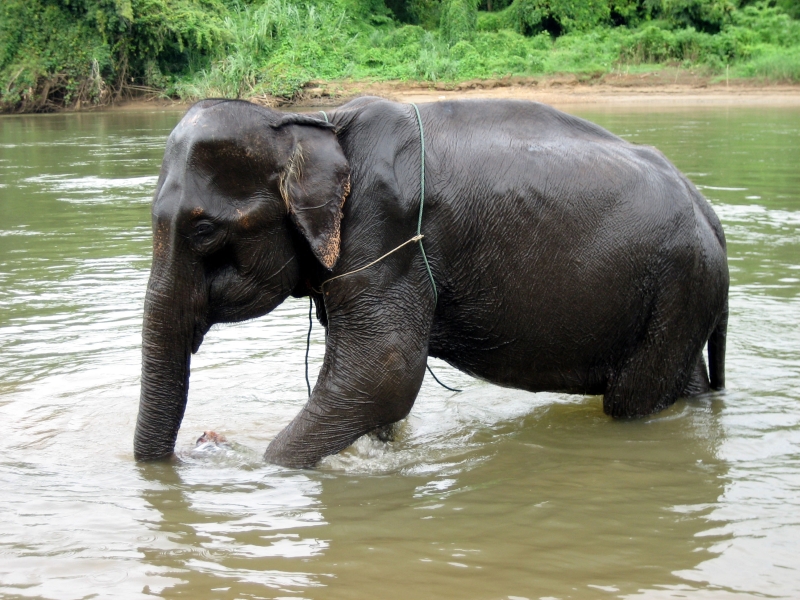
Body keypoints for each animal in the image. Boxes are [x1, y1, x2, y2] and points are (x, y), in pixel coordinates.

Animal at [134, 96, 728, 468]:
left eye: (204, 231)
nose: (201, 441)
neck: (310, 123)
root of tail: (708, 212)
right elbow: (371, 387)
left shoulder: (382, 227)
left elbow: (384, 370)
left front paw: (268, 468)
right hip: (680, 297)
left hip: (676, 285)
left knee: (630, 402)